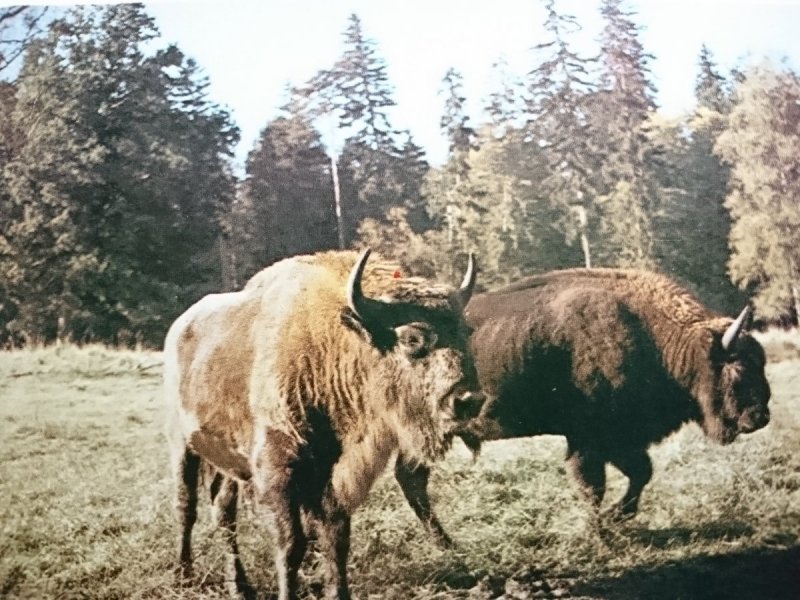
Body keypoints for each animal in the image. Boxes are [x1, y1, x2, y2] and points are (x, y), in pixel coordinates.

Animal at [164, 246, 482, 596]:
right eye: (412, 338)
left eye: (466, 332)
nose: (469, 400)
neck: (332, 351)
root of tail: (179, 328)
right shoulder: (278, 475)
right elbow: (291, 546)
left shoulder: (333, 479)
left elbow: (335, 539)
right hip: (182, 445)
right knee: (186, 507)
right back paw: (183, 575)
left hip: (228, 462)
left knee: (223, 512)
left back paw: (240, 587)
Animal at [396, 270, 772, 548]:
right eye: (738, 369)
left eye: (762, 363)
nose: (760, 417)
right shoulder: (590, 440)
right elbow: (594, 486)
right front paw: (600, 534)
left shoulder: (619, 439)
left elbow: (641, 473)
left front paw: (613, 520)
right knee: (412, 480)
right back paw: (445, 543)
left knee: (411, 480)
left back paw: (445, 544)